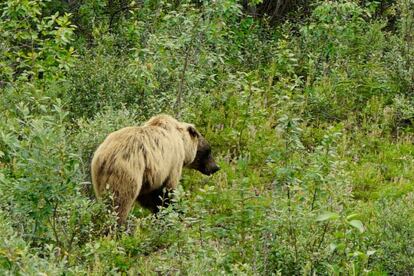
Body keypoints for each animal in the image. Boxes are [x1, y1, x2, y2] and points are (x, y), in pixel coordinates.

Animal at [90, 114, 220, 224]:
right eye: (209, 151)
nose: (216, 167)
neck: (182, 144)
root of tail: (105, 157)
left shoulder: (149, 178)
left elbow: (151, 197)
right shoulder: (172, 164)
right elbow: (166, 193)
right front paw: (174, 213)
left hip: (99, 178)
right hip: (127, 172)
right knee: (120, 202)